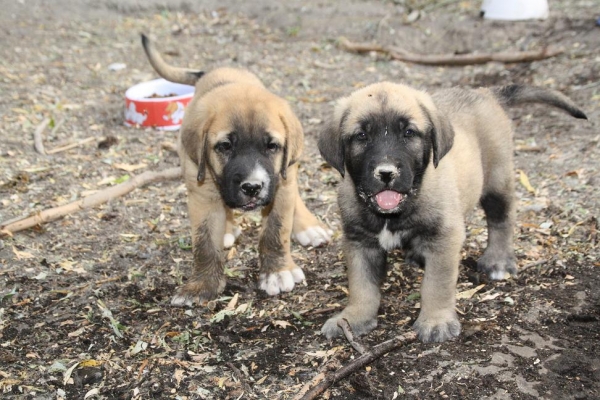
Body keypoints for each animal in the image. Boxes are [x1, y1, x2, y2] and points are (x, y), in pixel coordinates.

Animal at [141, 34, 330, 304]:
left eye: (272, 146)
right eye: (225, 146)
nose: (252, 187)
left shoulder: (280, 186)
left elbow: (276, 231)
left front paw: (277, 272)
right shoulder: (202, 193)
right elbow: (205, 243)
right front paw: (201, 285)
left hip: (287, 173)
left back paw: (309, 227)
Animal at [318, 83, 584, 342]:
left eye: (408, 133)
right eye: (361, 136)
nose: (386, 173)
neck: (391, 214)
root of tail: (485, 92)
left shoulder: (444, 237)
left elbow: (437, 284)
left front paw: (436, 321)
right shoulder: (359, 241)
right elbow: (362, 285)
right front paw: (353, 318)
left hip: (497, 179)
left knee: (501, 219)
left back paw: (498, 260)